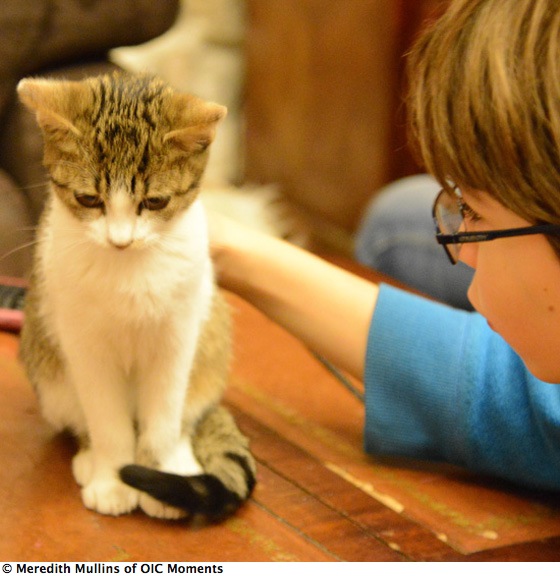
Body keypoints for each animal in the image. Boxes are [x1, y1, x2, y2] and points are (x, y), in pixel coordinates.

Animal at [17, 72, 258, 520]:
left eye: (155, 202)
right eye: (89, 199)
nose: (120, 240)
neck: (129, 270)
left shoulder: (178, 335)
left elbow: (164, 415)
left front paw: (159, 473)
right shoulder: (82, 340)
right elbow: (105, 419)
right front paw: (113, 478)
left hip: (210, 341)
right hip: (49, 370)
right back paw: (89, 457)